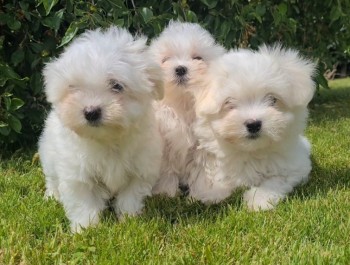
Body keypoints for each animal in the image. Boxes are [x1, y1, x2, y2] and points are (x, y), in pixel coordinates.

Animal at [38, 25, 164, 230]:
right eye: (73, 87)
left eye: (117, 86)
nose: (91, 112)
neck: (107, 139)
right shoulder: (77, 173)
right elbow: (83, 201)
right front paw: (86, 228)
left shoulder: (139, 170)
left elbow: (130, 197)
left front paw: (128, 220)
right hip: (49, 154)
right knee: (52, 179)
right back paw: (51, 196)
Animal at [149, 20, 226, 195]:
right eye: (166, 59)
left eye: (197, 58)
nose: (180, 69)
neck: (183, 103)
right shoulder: (166, 143)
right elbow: (167, 169)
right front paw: (165, 192)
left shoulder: (204, 144)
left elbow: (203, 168)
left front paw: (204, 193)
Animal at [187, 46, 316, 210]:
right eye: (229, 103)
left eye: (273, 99)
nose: (253, 124)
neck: (251, 152)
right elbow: (218, 177)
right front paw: (210, 193)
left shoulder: (296, 167)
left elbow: (276, 180)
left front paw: (259, 199)